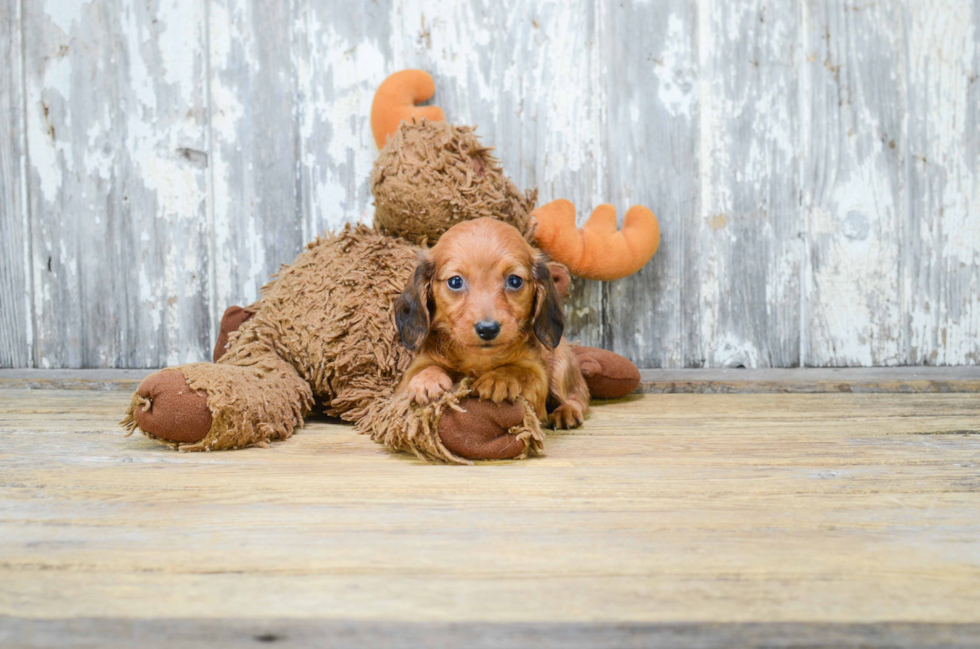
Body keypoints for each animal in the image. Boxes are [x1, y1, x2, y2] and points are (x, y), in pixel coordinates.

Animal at [392, 218, 588, 428]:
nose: (487, 329)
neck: (479, 359)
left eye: (514, 281)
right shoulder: (407, 380)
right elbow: (420, 370)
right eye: (455, 281)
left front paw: (499, 379)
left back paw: (566, 412)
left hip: (560, 363)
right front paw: (427, 379)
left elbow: (521, 371)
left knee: (579, 395)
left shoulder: (538, 378)